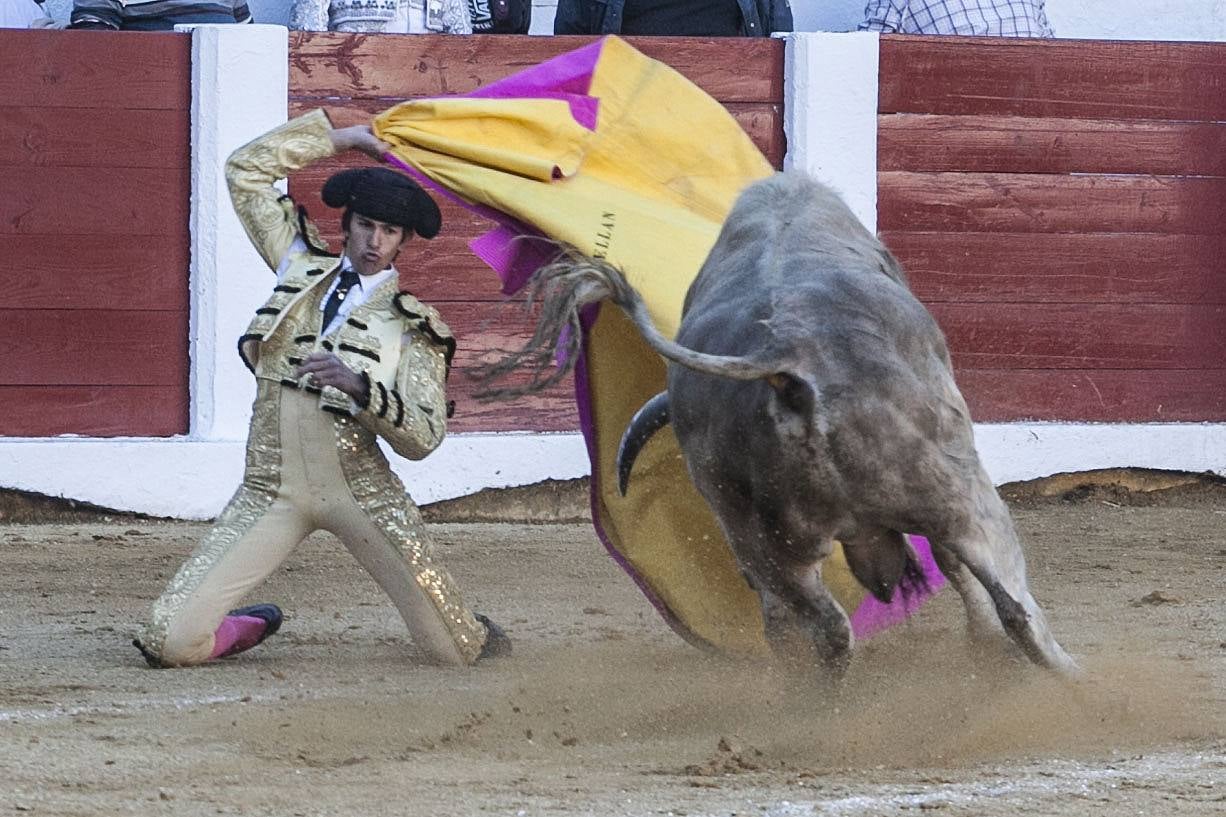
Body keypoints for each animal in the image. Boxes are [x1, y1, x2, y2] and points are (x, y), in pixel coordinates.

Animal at [483, 171, 1078, 672]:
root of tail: (790, 362)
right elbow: (962, 574)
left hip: (764, 540)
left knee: (814, 626)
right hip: (958, 496)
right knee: (1008, 602)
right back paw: (1069, 677)